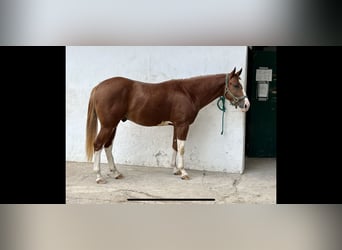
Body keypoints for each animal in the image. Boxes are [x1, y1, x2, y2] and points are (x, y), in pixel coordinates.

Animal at [86, 67, 248, 183]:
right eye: (235, 85)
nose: (246, 105)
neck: (188, 92)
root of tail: (98, 87)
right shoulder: (183, 125)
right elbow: (181, 148)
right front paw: (183, 172)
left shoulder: (176, 126)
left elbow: (175, 145)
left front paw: (175, 170)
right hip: (108, 125)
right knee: (98, 144)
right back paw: (99, 176)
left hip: (113, 125)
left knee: (108, 146)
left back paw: (116, 173)